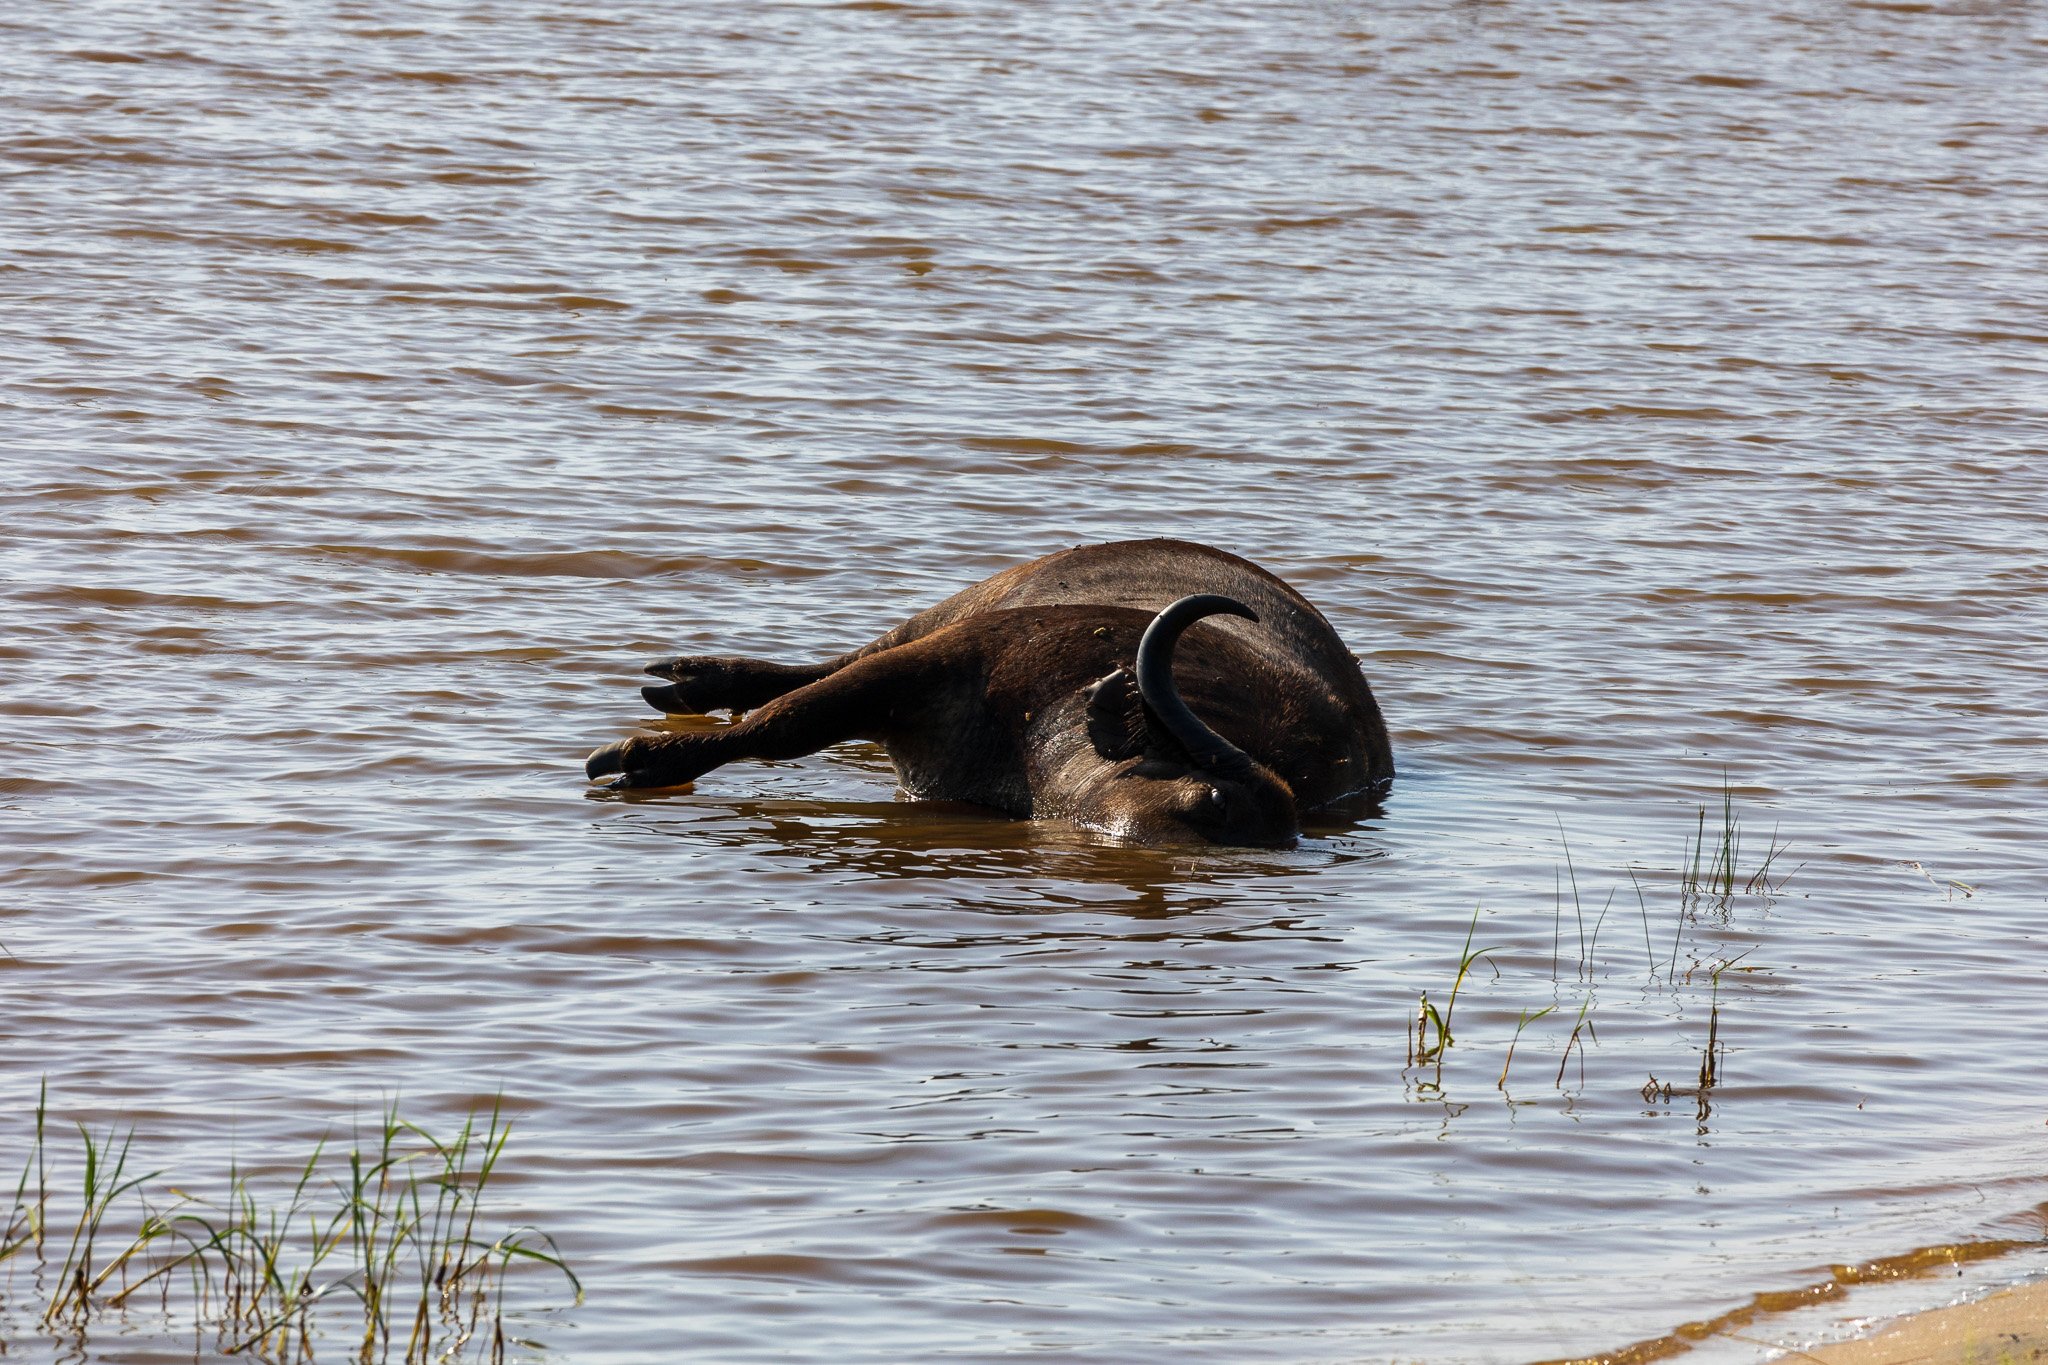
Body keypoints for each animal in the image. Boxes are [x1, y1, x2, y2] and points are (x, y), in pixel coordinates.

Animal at [585, 540, 1400, 843]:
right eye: (1213, 802)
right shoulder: (944, 658)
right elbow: (782, 724)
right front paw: (646, 758)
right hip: (943, 615)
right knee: (829, 664)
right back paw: (695, 679)